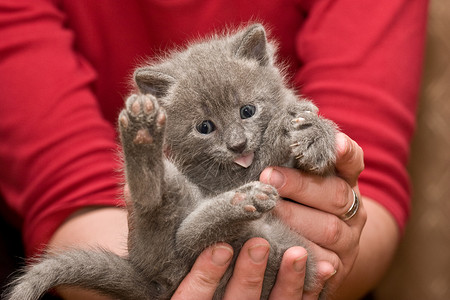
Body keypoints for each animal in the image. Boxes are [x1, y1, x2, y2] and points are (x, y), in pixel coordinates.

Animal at [5, 24, 336, 300]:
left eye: (248, 110)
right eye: (204, 127)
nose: (238, 144)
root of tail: (158, 284)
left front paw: (317, 135)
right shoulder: (224, 176)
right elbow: (261, 159)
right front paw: (284, 125)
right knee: (177, 228)